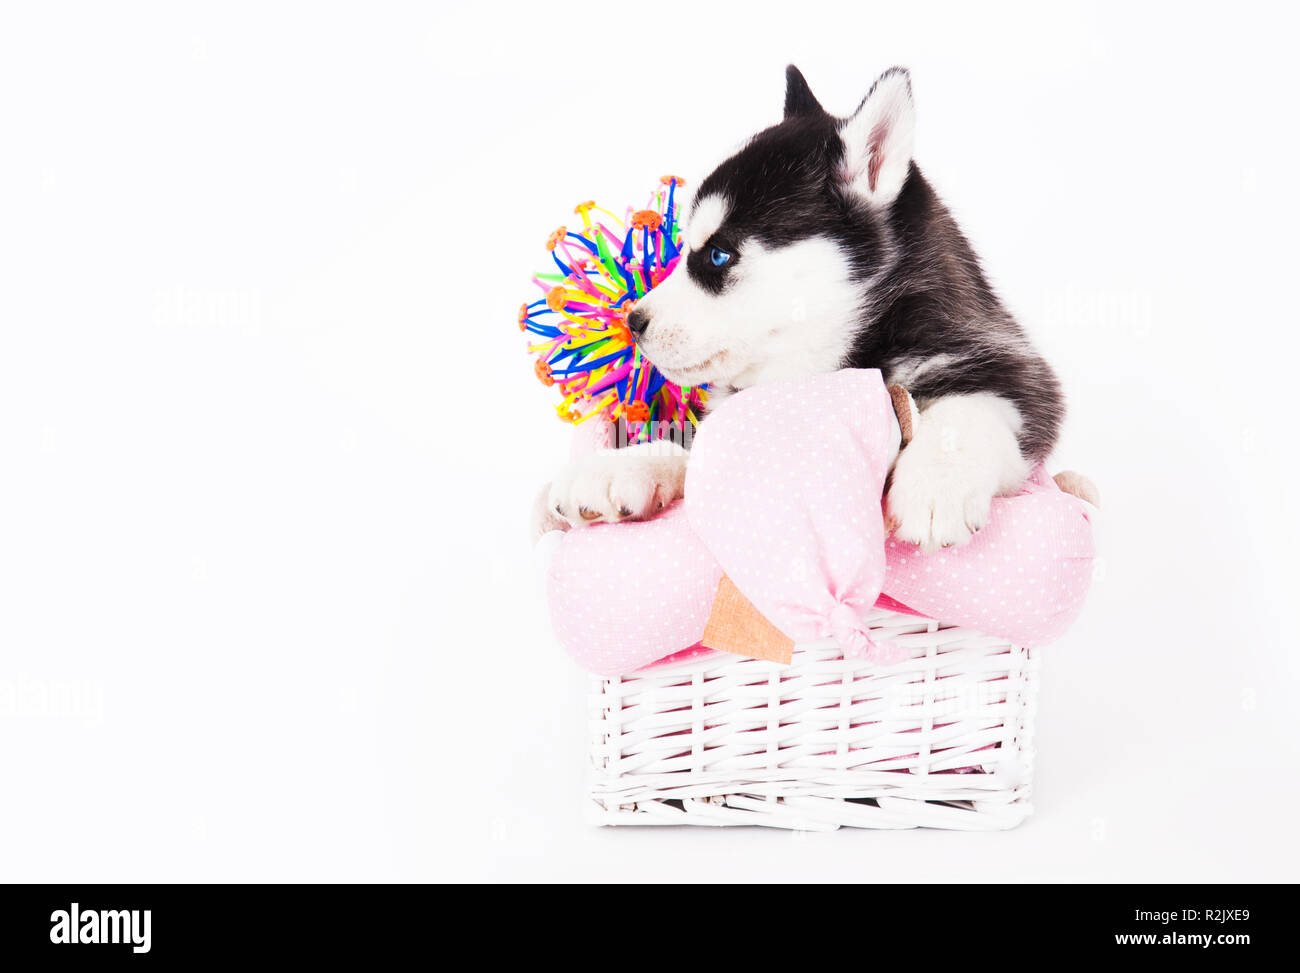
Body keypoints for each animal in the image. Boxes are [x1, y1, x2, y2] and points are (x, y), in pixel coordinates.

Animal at [538, 66, 1055, 554]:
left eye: (719, 255)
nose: (633, 322)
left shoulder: (1017, 374)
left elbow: (972, 408)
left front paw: (936, 482)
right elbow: (699, 449)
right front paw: (625, 467)